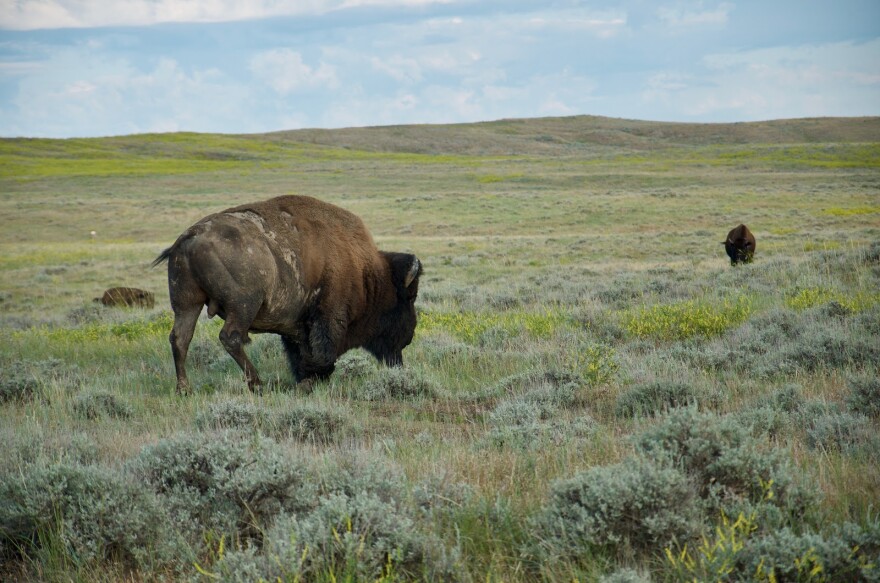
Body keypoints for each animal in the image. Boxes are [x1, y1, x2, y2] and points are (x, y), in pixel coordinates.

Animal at [152, 195, 422, 392]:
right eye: (409, 298)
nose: (409, 337)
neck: (368, 274)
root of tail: (188, 237)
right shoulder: (328, 316)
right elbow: (322, 351)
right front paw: (313, 378)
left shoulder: (297, 327)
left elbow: (300, 352)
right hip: (243, 305)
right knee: (230, 337)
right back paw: (257, 384)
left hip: (187, 303)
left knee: (180, 339)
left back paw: (184, 389)